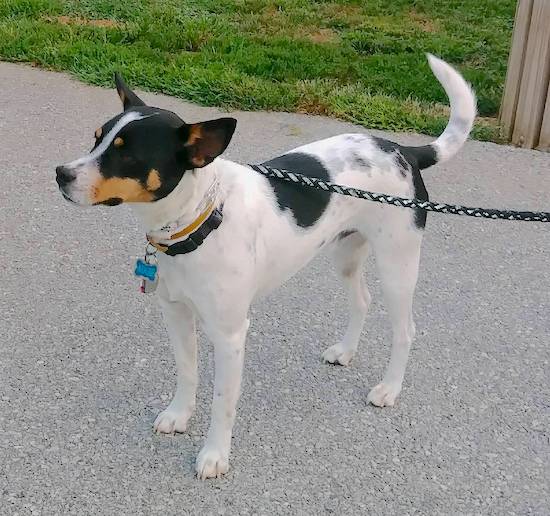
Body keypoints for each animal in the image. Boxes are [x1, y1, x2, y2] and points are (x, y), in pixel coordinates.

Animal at [57, 54, 478, 478]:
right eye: (97, 138)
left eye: (127, 155)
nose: (60, 174)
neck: (201, 217)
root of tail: (403, 151)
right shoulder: (175, 313)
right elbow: (187, 372)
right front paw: (179, 415)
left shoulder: (230, 335)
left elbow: (222, 400)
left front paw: (215, 454)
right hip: (346, 254)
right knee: (362, 299)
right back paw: (345, 351)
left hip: (398, 264)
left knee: (405, 330)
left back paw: (389, 388)